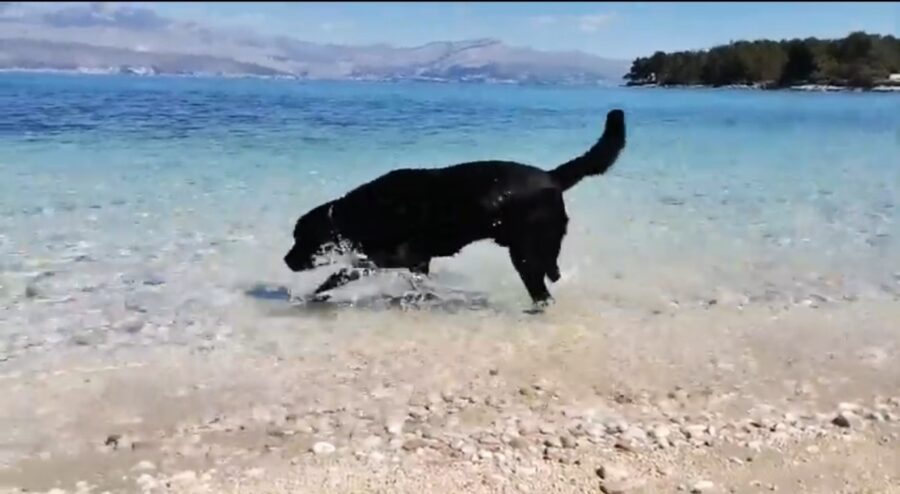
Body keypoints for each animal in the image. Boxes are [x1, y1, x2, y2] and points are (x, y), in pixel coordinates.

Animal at [286, 110, 624, 306]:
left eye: (301, 239)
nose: (286, 260)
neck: (360, 213)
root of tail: (552, 176)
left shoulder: (396, 255)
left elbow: (346, 269)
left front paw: (320, 291)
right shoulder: (418, 260)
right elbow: (416, 281)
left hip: (525, 253)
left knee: (541, 289)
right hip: (544, 246)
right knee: (552, 272)